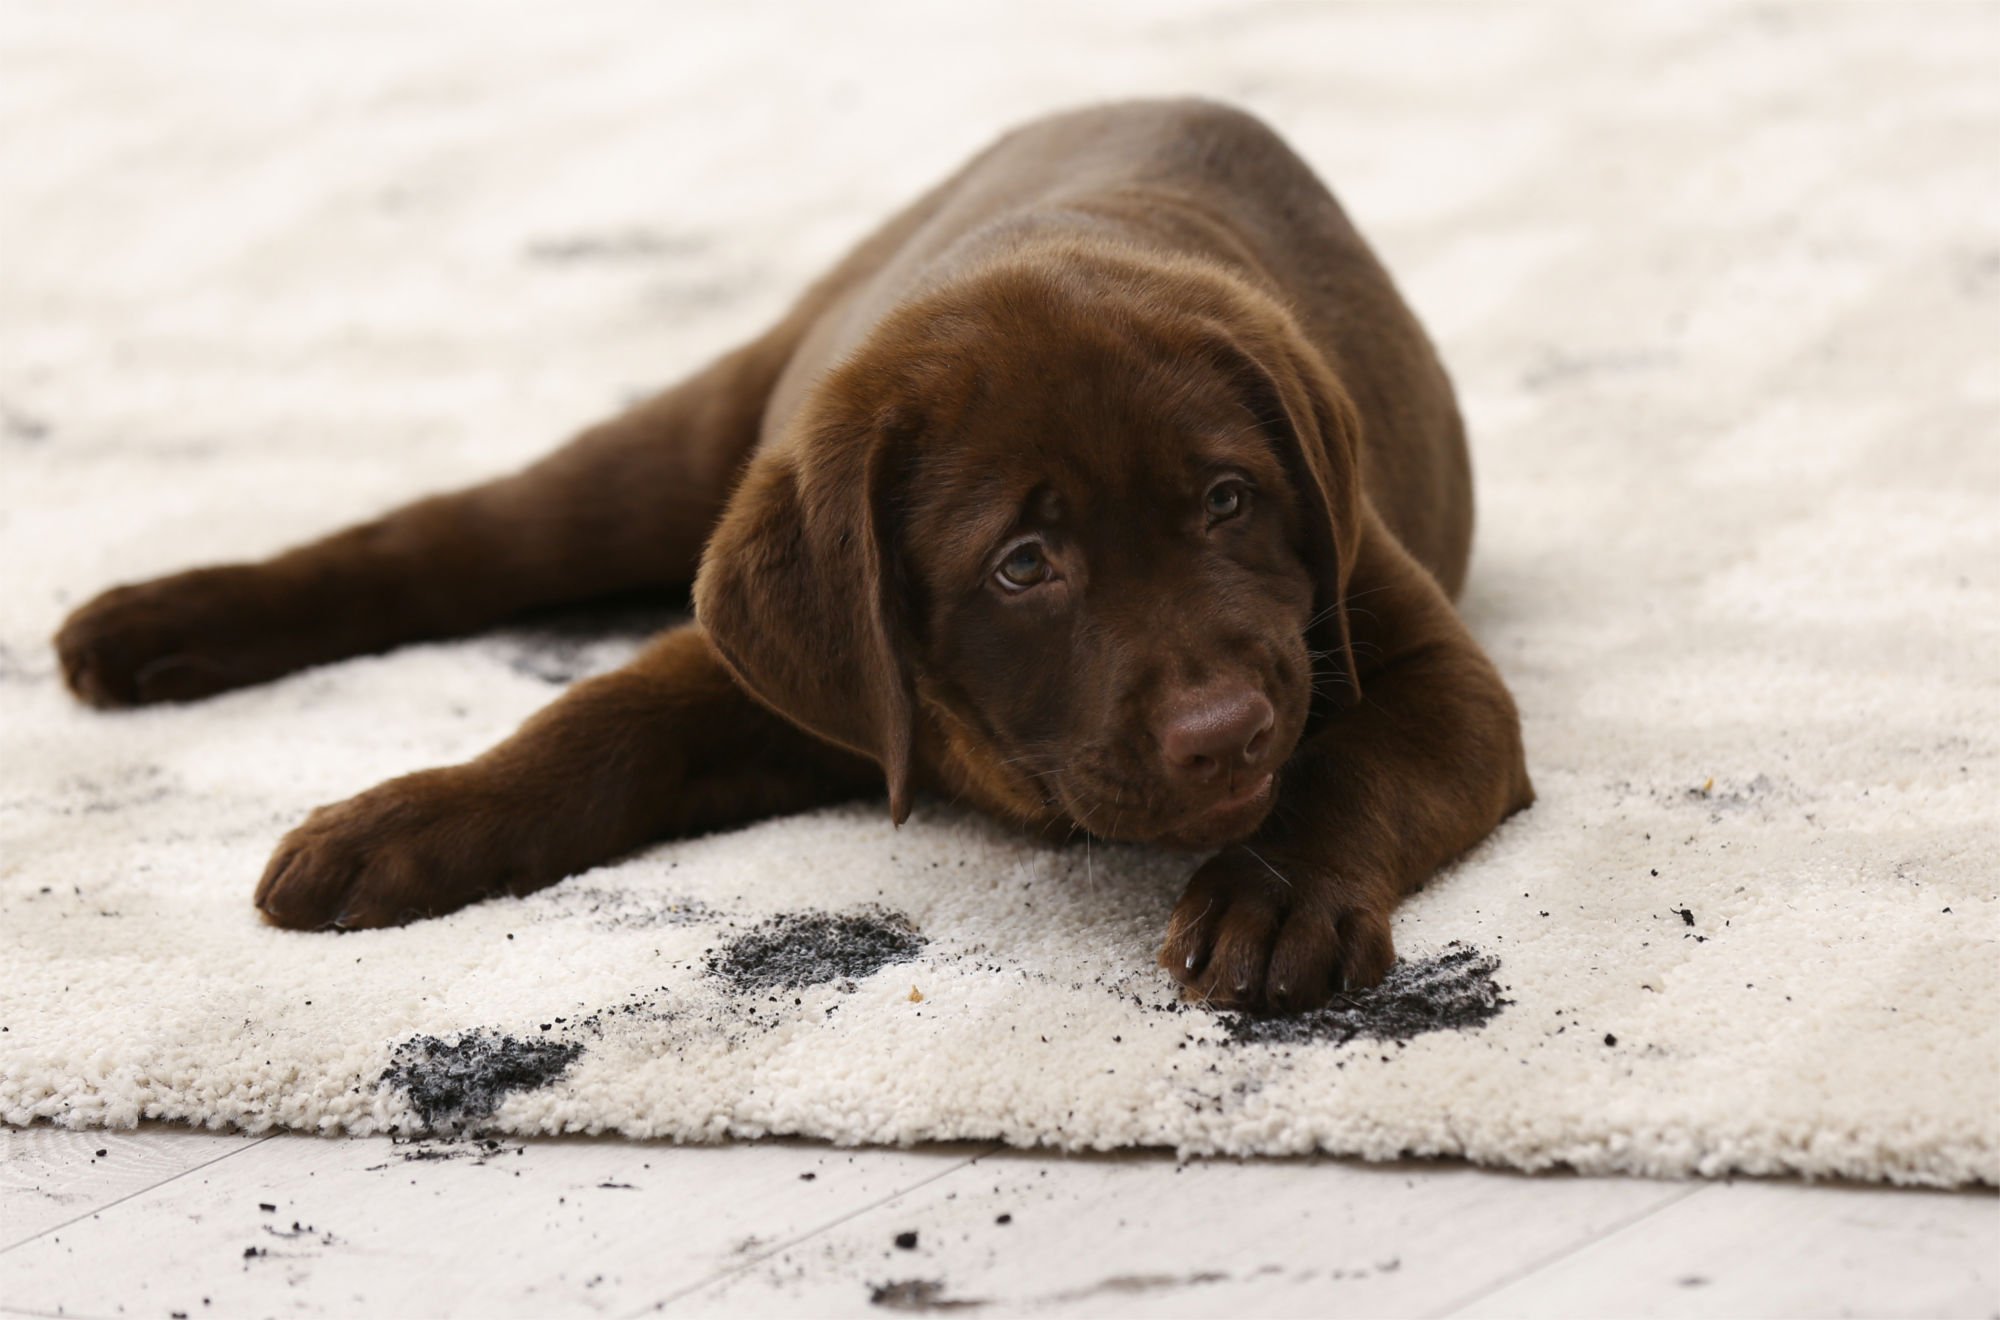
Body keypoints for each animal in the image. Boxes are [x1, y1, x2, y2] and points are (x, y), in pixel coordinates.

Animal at [58, 103, 1528, 1012]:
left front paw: (1273, 898)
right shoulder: (796, 673)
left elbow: (1354, 765)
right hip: (685, 442)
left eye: (1229, 500)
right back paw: (145, 629)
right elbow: (587, 728)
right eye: (1022, 567)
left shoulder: (1421, 662)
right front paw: (400, 823)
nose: (1226, 735)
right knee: (456, 539)